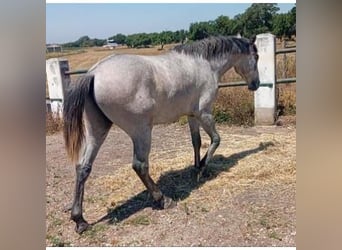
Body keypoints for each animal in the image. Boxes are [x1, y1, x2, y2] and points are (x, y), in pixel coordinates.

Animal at [63, 34, 260, 232]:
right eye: (256, 57)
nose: (256, 84)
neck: (203, 64)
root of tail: (94, 73)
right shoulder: (204, 113)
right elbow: (216, 139)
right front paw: (202, 168)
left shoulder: (192, 115)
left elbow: (196, 141)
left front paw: (196, 167)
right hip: (141, 132)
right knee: (140, 166)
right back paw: (163, 199)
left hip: (97, 131)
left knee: (83, 167)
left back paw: (80, 220)